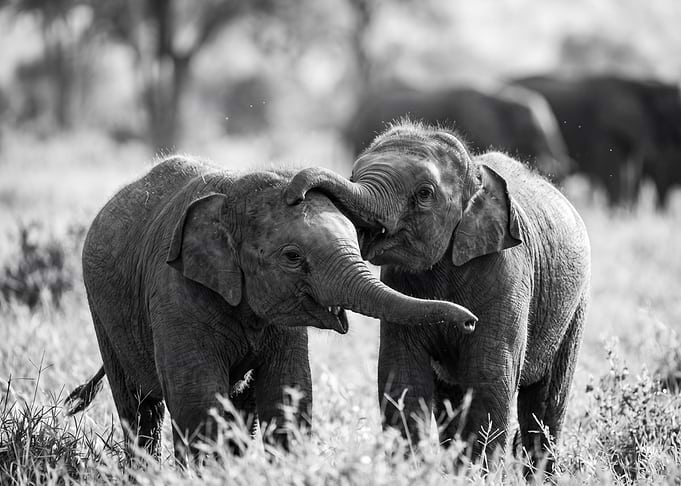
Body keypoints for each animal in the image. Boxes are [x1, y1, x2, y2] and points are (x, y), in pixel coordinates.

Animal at [65, 155, 478, 462]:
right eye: (292, 257)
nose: (471, 322)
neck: (231, 196)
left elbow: (287, 393)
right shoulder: (175, 292)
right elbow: (197, 398)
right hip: (101, 308)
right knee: (138, 408)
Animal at [286, 122, 591, 475]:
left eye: (424, 194)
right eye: (352, 174)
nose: (296, 195)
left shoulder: (507, 274)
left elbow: (490, 377)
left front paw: (478, 476)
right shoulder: (399, 282)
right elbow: (402, 377)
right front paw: (409, 473)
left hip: (575, 307)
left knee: (546, 400)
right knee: (453, 399)